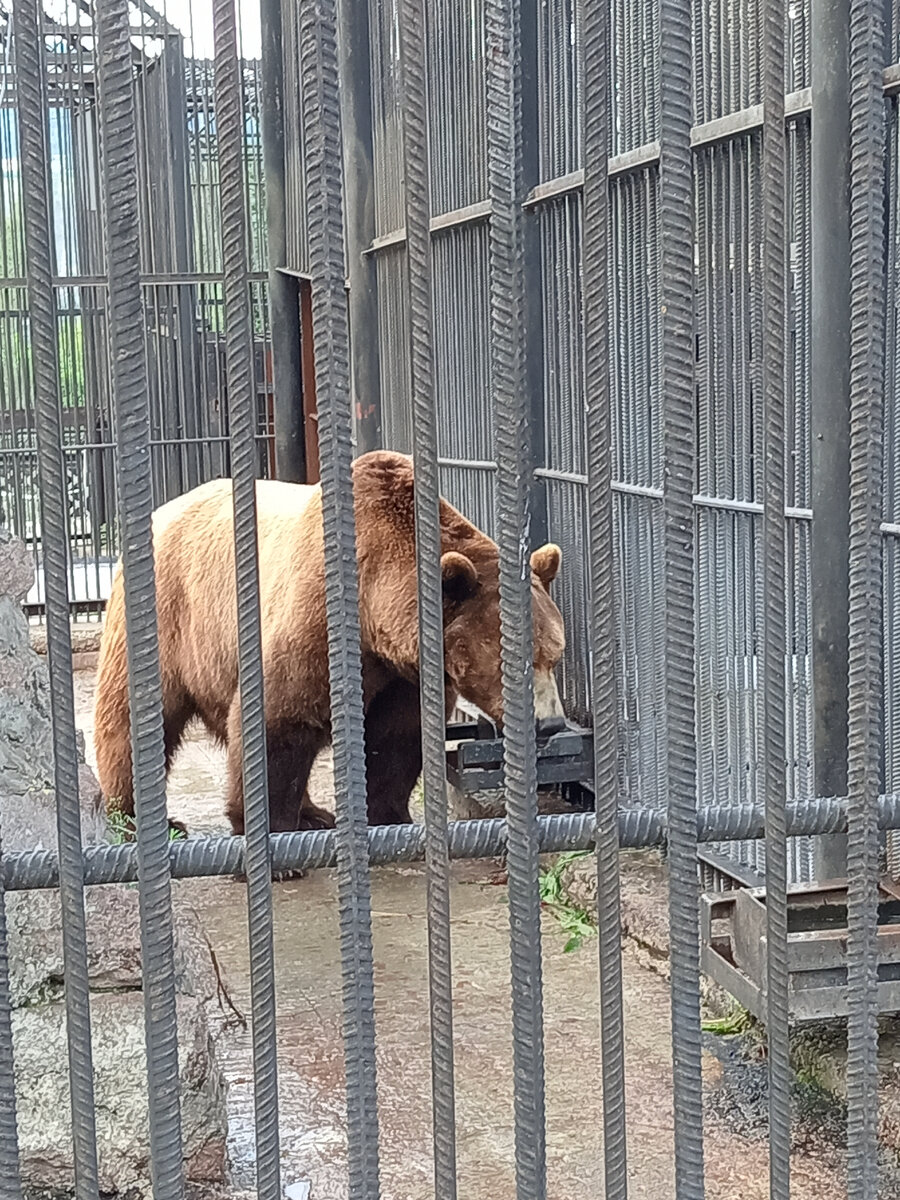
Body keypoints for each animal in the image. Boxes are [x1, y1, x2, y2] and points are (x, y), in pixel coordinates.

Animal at [95, 448, 566, 835]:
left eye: (554, 656)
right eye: (512, 661)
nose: (551, 723)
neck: (376, 609)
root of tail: (165, 508)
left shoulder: (404, 671)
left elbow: (395, 738)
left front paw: (390, 815)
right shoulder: (315, 619)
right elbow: (281, 721)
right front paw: (274, 835)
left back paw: (313, 812)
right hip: (167, 615)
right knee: (133, 716)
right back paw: (134, 816)